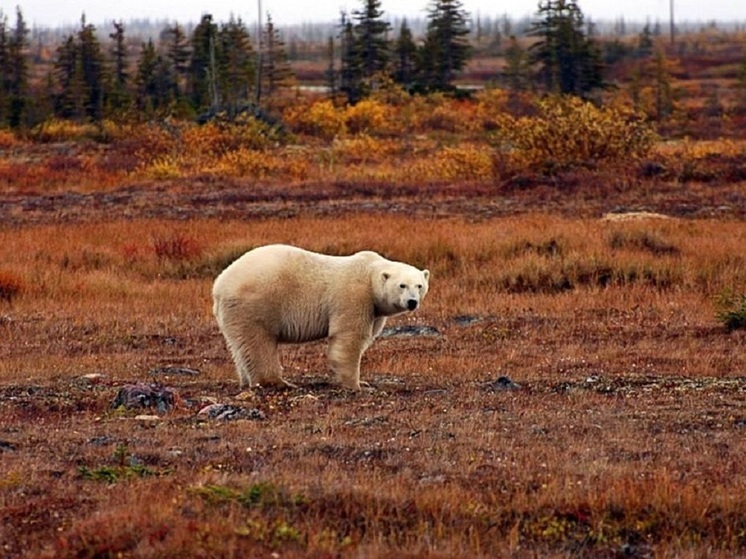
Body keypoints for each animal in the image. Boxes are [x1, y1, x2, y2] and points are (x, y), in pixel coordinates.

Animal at [212, 243, 428, 392]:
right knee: (259, 343)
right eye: (402, 285)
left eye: (419, 285)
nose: (412, 302)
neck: (369, 274)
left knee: (240, 346)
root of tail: (219, 284)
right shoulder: (354, 296)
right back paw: (279, 382)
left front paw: (363, 382)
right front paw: (356, 385)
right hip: (256, 303)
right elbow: (349, 338)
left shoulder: (374, 310)